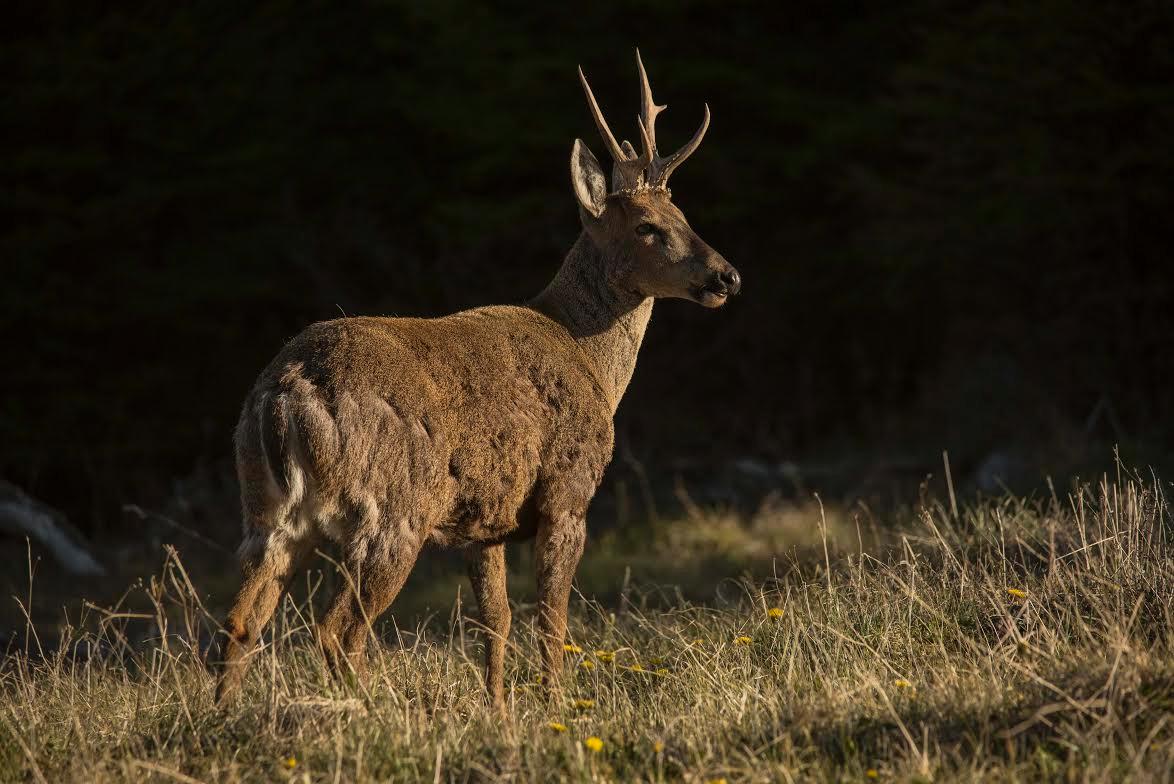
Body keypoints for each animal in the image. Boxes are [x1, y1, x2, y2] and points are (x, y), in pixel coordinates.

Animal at [212, 49, 741, 708]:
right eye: (647, 226)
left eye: (683, 215)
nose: (727, 276)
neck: (589, 358)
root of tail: (286, 393)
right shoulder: (567, 491)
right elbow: (552, 618)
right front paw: (556, 705)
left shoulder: (484, 523)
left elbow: (496, 621)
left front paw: (499, 710)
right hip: (392, 510)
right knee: (337, 628)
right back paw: (375, 712)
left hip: (268, 511)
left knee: (241, 622)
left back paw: (225, 718)